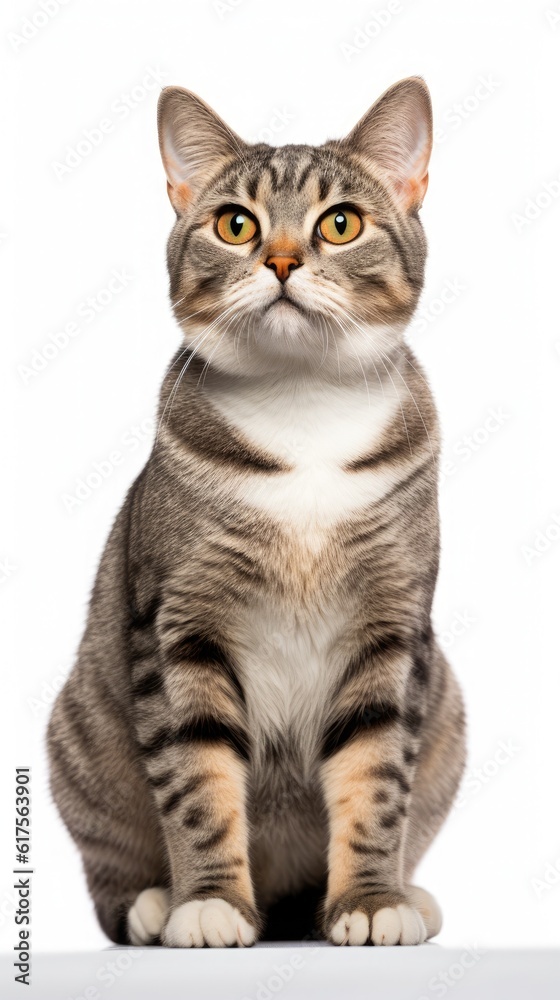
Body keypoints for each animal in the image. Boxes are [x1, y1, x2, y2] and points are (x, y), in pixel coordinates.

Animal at [48, 76, 466, 944]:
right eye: (235, 224)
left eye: (340, 222)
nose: (279, 260)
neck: (302, 411)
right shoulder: (178, 624)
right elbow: (196, 778)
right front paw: (207, 901)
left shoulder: (392, 626)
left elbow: (378, 775)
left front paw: (371, 900)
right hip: (76, 730)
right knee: (110, 874)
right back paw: (154, 901)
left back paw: (406, 894)